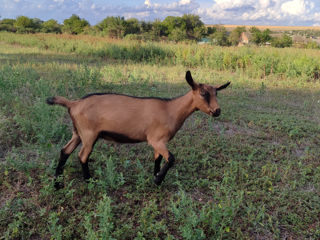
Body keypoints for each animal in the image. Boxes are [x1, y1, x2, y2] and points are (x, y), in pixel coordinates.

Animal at [46, 70, 230, 188]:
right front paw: (157, 181)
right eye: (203, 94)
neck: (171, 109)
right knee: (82, 155)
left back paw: (57, 184)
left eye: (216, 93)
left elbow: (158, 159)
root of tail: (74, 103)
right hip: (89, 134)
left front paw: (155, 178)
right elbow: (171, 158)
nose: (217, 111)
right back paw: (89, 181)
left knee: (65, 151)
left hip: (78, 133)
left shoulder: (158, 142)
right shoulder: (156, 139)